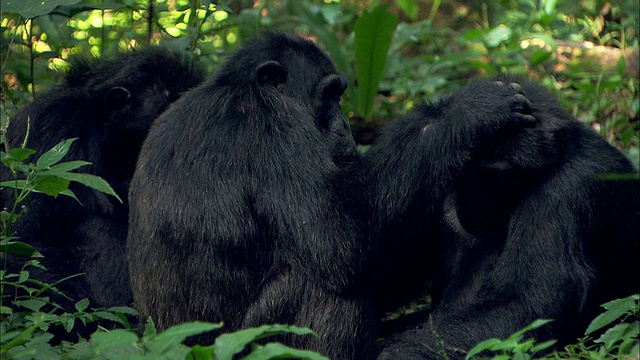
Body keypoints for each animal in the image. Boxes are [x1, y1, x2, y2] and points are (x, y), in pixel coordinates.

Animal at [376, 77, 640, 358]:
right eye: (469, 172)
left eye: (496, 180)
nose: (471, 206)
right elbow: (382, 261)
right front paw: (474, 109)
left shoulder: (571, 188)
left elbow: (526, 303)